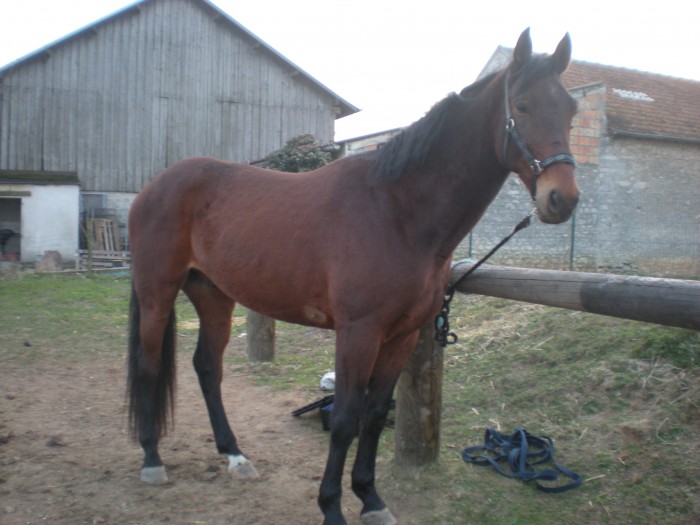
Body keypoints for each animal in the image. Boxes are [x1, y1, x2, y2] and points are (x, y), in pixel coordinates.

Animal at [127, 28, 579, 525]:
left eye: (572, 109)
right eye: (522, 105)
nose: (562, 198)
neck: (396, 211)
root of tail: (156, 185)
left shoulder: (402, 335)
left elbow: (375, 414)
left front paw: (371, 498)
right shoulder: (358, 332)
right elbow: (345, 418)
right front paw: (332, 507)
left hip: (213, 295)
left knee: (207, 367)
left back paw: (234, 455)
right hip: (157, 291)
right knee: (149, 365)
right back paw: (151, 460)